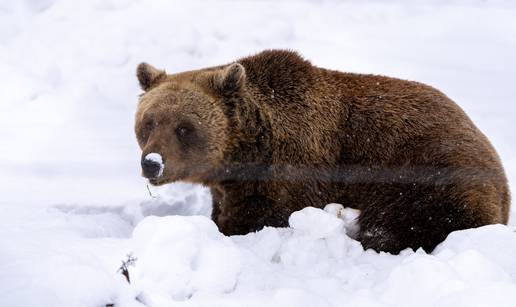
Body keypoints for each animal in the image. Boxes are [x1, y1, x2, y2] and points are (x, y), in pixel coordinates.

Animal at [133, 49, 508, 254]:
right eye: (148, 123)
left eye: (184, 128)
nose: (152, 163)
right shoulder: (233, 185)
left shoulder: (291, 173)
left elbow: (260, 218)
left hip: (429, 171)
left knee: (406, 219)